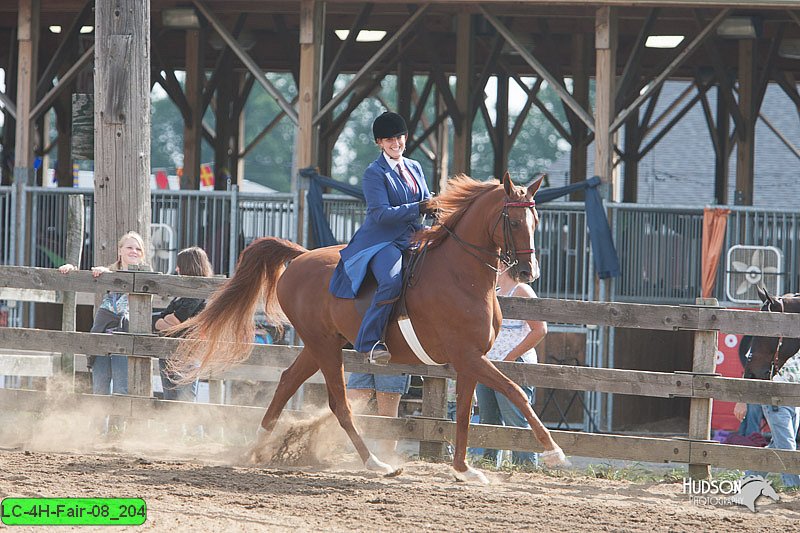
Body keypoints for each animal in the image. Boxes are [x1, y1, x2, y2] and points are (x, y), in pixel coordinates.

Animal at [173, 172, 564, 480]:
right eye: (514, 222)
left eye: (536, 221)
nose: (529, 273)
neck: (459, 275)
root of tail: (300, 256)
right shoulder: (468, 356)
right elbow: (515, 391)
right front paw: (554, 452)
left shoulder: (469, 360)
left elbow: (467, 413)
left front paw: (463, 470)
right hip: (325, 347)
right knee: (339, 404)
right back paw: (375, 462)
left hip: (321, 345)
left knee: (285, 384)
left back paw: (256, 448)